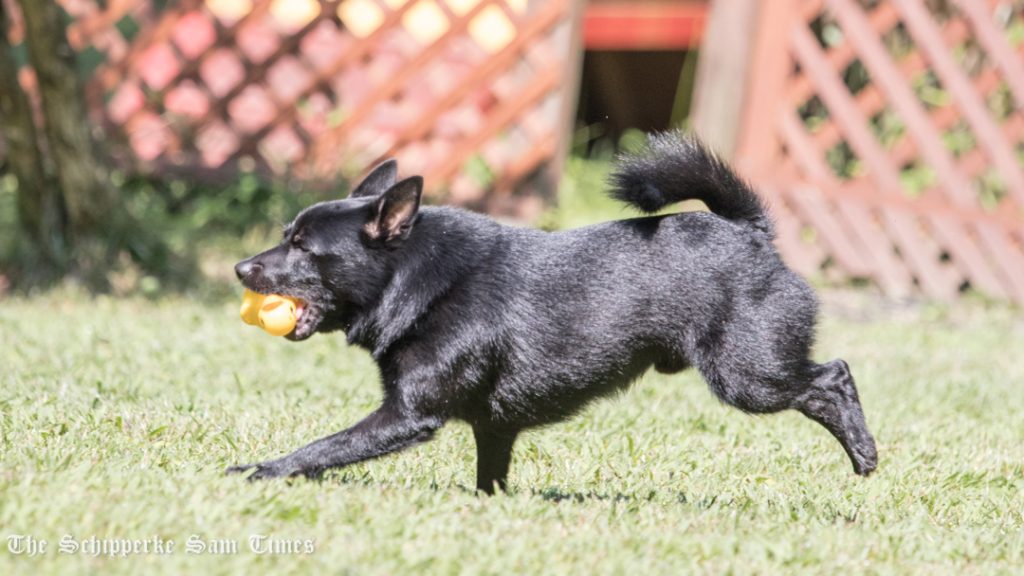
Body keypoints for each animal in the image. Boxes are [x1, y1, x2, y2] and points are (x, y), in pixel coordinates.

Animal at [230, 132, 880, 491]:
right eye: (285, 236)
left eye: (304, 248)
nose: (240, 269)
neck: (421, 282)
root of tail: (751, 233)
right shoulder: (494, 428)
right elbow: (489, 479)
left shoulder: (407, 417)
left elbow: (322, 449)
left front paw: (261, 472)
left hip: (748, 376)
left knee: (833, 377)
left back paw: (864, 454)